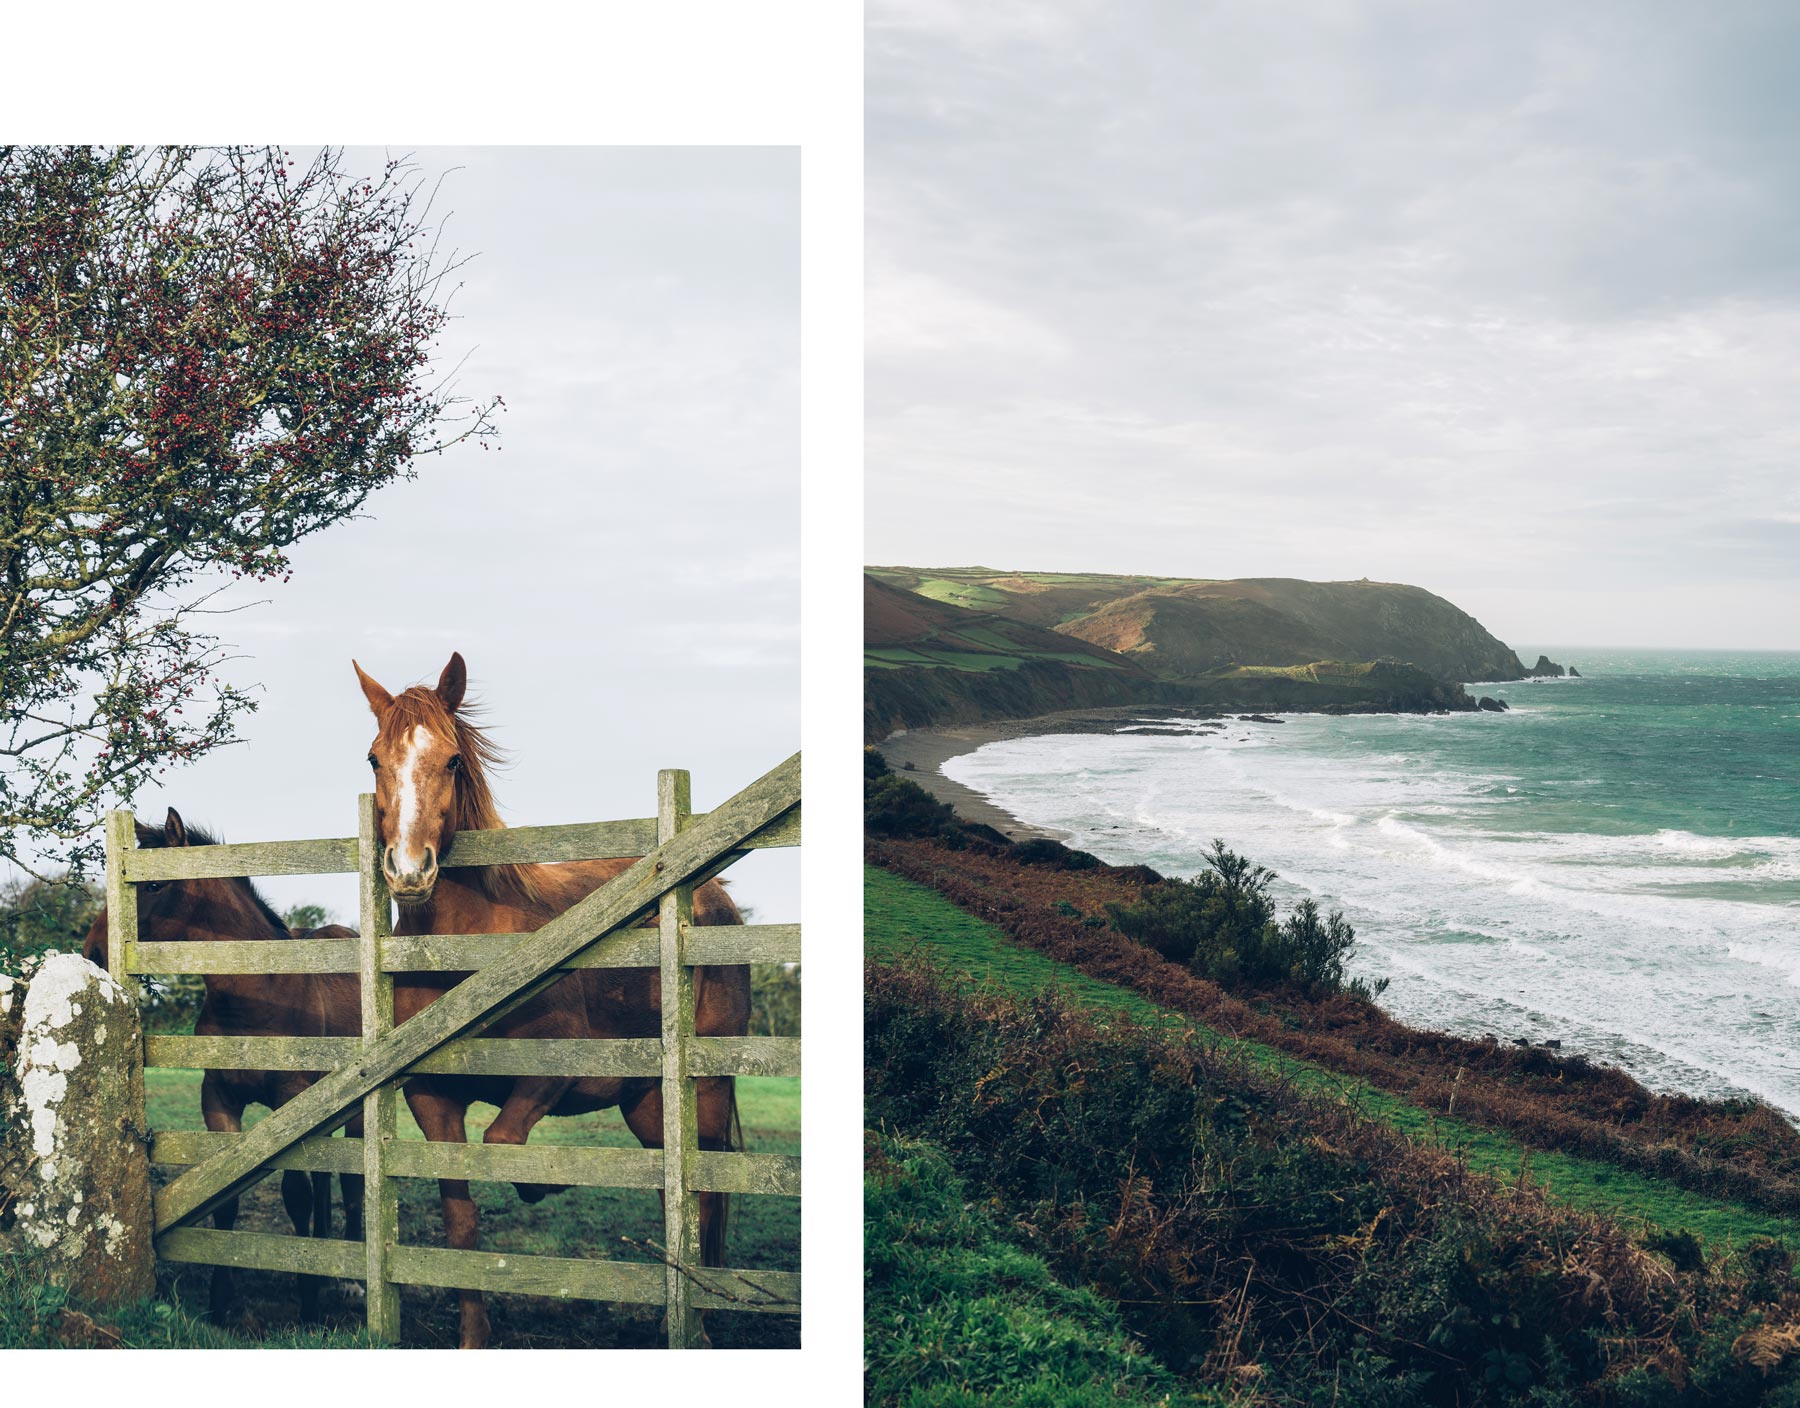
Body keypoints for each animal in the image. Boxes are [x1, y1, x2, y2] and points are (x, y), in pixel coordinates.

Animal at [84, 810, 365, 1332]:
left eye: (154, 885)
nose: (92, 950)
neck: (256, 996)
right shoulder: (218, 1101)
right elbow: (227, 1198)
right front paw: (219, 1305)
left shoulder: (291, 1100)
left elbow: (296, 1193)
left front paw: (308, 1305)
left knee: (351, 1186)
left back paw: (351, 1282)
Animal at [351, 655, 752, 1353]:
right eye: (376, 759)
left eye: (451, 761)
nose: (408, 871)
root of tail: (716, 897)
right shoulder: (432, 1096)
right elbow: (460, 1219)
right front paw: (474, 1336)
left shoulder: (556, 1071)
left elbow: (504, 1139)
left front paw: (546, 1179)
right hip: (649, 1105)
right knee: (675, 1194)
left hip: (704, 1088)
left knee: (703, 1195)